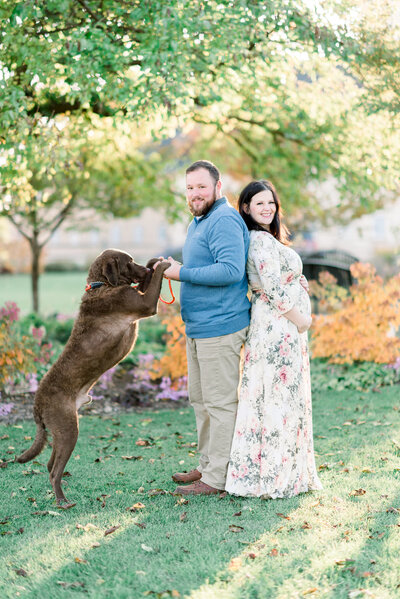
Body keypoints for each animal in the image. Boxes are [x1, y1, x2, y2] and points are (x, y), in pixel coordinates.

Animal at [16, 248, 170, 506]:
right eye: (129, 262)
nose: (143, 267)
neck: (101, 285)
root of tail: (36, 404)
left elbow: (147, 282)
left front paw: (153, 263)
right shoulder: (144, 303)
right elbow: (154, 282)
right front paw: (161, 265)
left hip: (60, 431)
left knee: (49, 464)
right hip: (69, 429)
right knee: (54, 470)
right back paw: (63, 501)